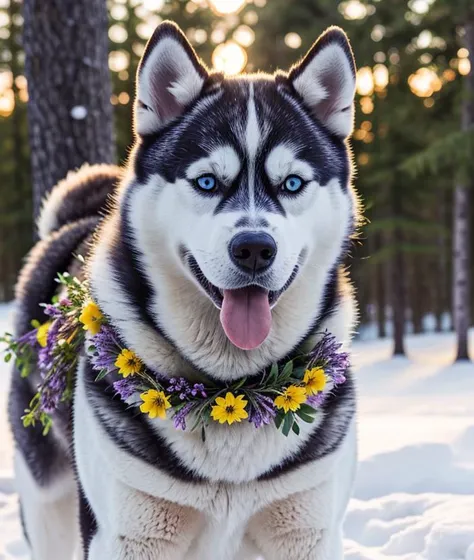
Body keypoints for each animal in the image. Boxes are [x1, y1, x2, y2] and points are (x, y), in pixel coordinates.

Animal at [9, 20, 360, 560]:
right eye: (208, 182)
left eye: (293, 183)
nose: (254, 248)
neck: (233, 387)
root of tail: (71, 223)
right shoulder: (124, 536)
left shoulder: (308, 531)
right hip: (47, 499)